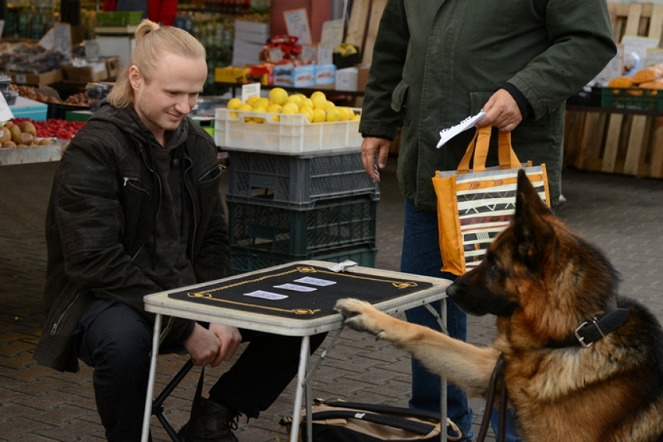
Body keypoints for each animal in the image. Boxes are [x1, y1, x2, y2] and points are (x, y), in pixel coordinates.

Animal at [338, 170, 663, 442]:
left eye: (493, 265)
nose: (450, 290)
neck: (576, 335)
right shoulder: (489, 371)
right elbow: (426, 333)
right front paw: (369, 314)